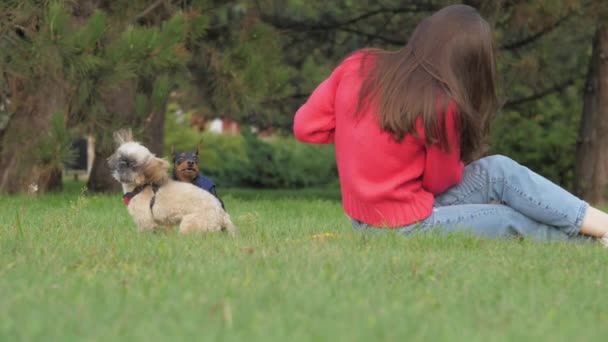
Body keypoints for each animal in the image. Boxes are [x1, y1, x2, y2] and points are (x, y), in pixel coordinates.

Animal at [107, 129, 235, 235]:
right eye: (121, 158)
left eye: (134, 165)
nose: (124, 163)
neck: (139, 187)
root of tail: (222, 214)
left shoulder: (146, 220)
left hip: (188, 224)